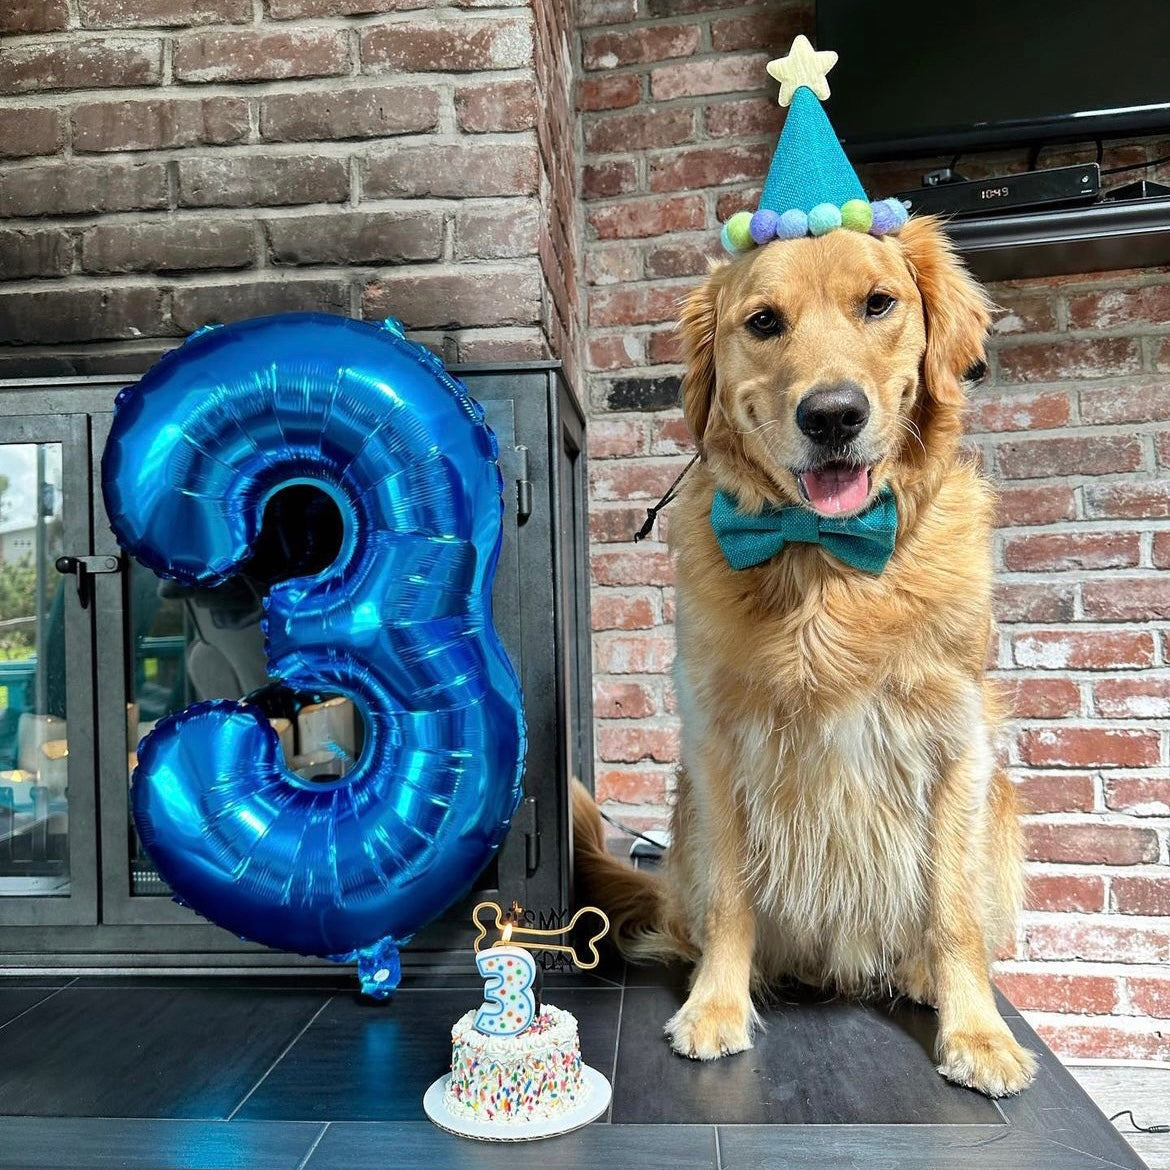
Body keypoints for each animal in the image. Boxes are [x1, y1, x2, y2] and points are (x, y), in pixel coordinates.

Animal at [570, 212, 1038, 1095]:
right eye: (763, 322)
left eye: (879, 303)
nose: (831, 415)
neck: (827, 563)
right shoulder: (718, 742)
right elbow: (732, 900)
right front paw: (715, 1007)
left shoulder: (957, 743)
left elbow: (954, 911)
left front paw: (977, 1033)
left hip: (998, 807)